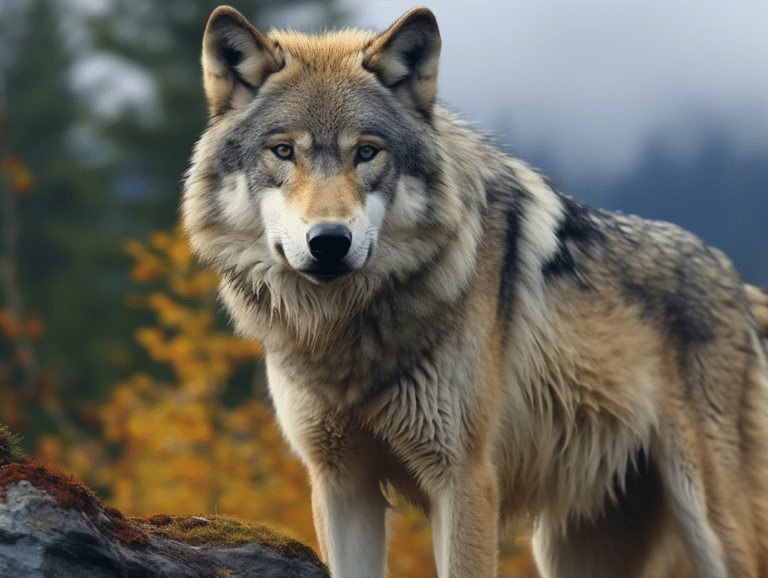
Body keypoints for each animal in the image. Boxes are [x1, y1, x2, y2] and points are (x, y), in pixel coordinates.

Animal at [182, 5, 768, 578]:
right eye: (283, 151)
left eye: (367, 153)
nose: (329, 241)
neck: (344, 333)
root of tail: (734, 280)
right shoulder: (340, 480)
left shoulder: (464, 476)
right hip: (571, 546)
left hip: (708, 520)